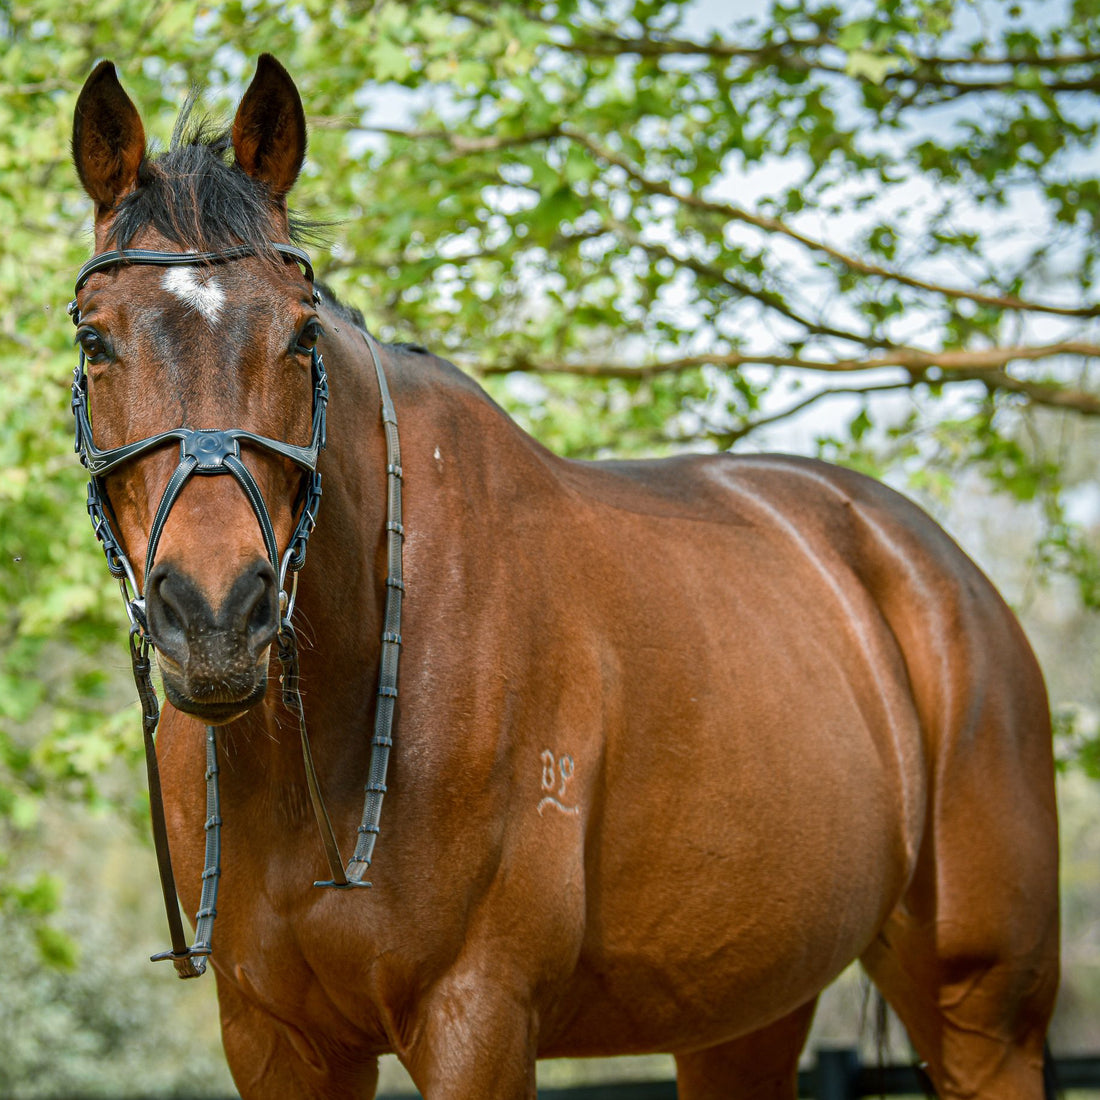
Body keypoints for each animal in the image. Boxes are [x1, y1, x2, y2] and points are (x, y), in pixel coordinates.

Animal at [68, 55, 1059, 1099]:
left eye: (301, 336)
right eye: (94, 338)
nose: (216, 615)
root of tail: (940, 572)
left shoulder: (479, 1017)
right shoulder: (274, 1039)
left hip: (984, 1014)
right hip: (744, 1013)